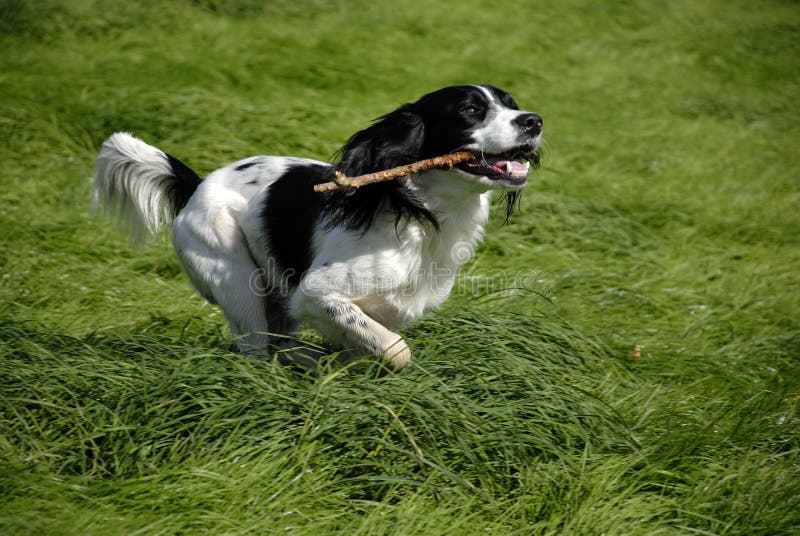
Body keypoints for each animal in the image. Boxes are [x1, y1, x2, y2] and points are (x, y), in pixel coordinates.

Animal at [94, 85, 544, 368]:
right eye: (471, 110)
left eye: (512, 104)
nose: (534, 121)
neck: (422, 214)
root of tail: (197, 185)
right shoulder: (316, 293)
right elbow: (396, 349)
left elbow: (367, 342)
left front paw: (338, 365)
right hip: (237, 282)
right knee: (258, 349)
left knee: (280, 345)